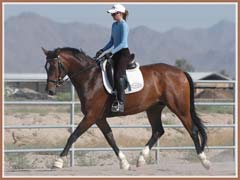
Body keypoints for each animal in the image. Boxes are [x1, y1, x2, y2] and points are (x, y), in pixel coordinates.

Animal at [42, 46, 211, 170]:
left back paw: (204, 161)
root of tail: (181, 72)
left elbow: (73, 135)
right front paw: (124, 163)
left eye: (55, 66)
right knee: (158, 131)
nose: (50, 91)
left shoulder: (91, 116)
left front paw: (57, 162)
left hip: (179, 108)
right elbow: (110, 138)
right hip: (154, 109)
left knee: (192, 130)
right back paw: (141, 159)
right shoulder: (99, 118)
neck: (90, 78)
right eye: (46, 67)